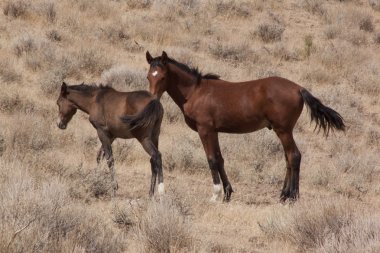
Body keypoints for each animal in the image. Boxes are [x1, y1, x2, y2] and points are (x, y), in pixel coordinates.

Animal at [145, 51, 344, 202]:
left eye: (163, 76)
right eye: (148, 76)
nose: (152, 99)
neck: (195, 92)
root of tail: (298, 88)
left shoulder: (205, 130)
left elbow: (212, 159)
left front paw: (215, 195)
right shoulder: (215, 131)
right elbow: (220, 159)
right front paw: (227, 194)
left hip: (284, 130)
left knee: (294, 156)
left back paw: (291, 196)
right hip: (284, 131)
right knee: (288, 158)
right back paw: (283, 194)